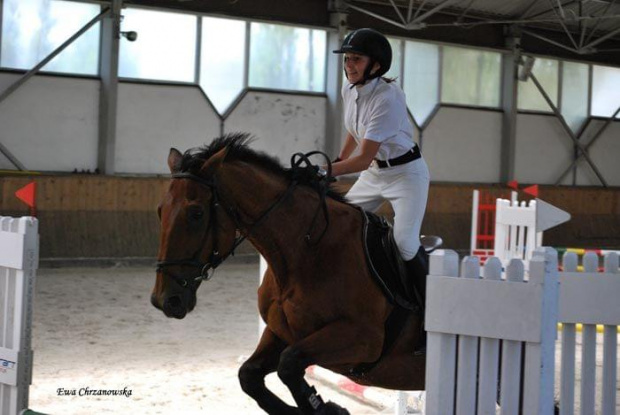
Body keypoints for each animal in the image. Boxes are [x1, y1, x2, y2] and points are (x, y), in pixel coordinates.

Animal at [151, 134, 426, 415]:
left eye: (196, 214)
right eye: (161, 211)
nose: (165, 301)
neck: (308, 250)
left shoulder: (363, 339)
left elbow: (289, 365)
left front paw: (328, 409)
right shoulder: (280, 332)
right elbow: (250, 376)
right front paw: (326, 408)